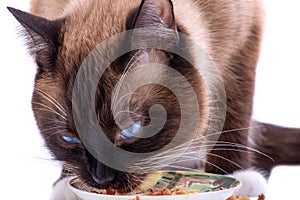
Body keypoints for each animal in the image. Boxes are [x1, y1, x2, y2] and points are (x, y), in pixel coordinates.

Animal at [11, 0, 298, 198]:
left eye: (132, 130)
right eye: (69, 139)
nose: (101, 180)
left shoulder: (244, 40)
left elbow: (234, 111)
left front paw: (234, 177)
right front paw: (69, 185)